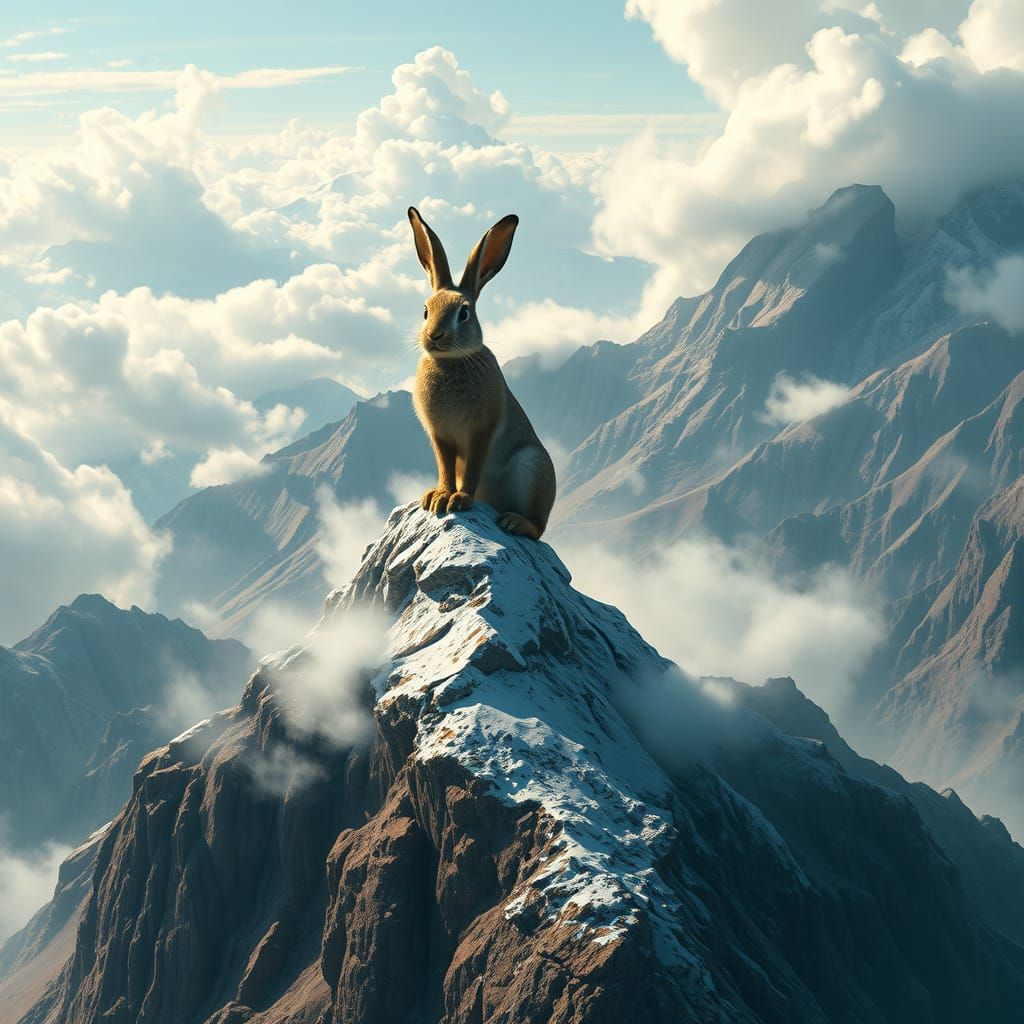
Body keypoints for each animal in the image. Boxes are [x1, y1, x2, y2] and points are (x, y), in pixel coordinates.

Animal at [407, 206, 556, 540]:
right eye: (425, 311)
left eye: (464, 313)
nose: (434, 336)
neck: (450, 361)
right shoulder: (440, 435)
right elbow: (445, 467)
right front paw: (438, 497)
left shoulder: (482, 429)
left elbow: (474, 466)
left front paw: (460, 499)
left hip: (532, 468)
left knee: (537, 528)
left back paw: (514, 522)